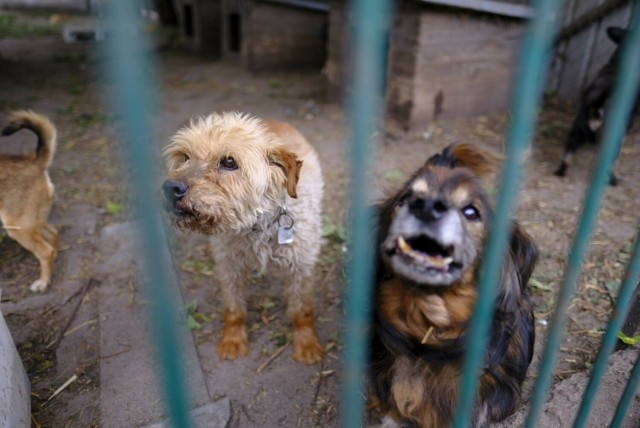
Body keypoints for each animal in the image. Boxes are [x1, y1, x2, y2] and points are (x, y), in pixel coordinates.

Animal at [0, 110, 59, 292]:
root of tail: (35, 162)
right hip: (32, 221)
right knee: (53, 234)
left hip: (19, 228)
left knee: (46, 252)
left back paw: (43, 282)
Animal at [162, 112, 322, 362]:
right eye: (185, 157)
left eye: (229, 162)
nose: (170, 188)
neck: (257, 224)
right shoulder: (229, 265)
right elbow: (233, 308)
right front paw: (233, 340)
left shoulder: (300, 266)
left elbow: (302, 310)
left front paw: (306, 343)